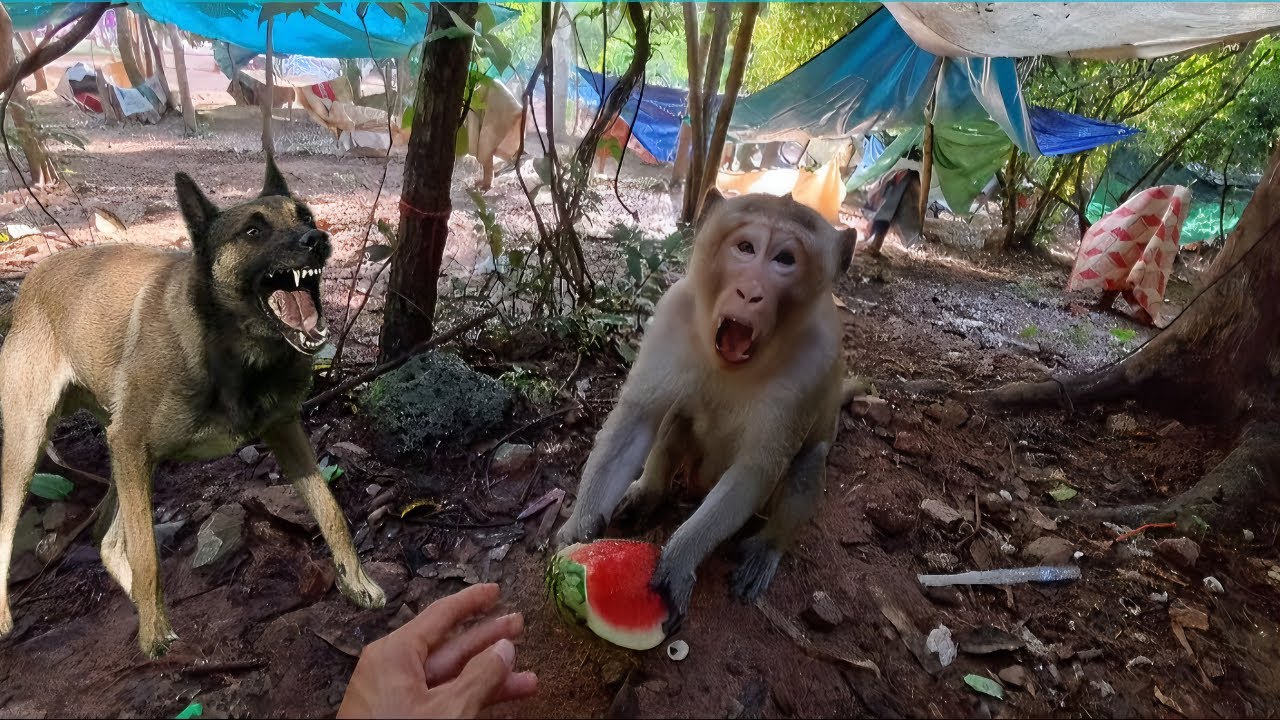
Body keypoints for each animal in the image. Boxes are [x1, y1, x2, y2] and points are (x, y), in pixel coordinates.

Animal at [556, 190, 857, 631]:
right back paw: (649, 492)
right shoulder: (672, 314)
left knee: (808, 460)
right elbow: (638, 418)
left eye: (785, 259)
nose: (750, 293)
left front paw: (680, 559)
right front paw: (580, 525)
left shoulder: (815, 360)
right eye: (746, 248)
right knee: (675, 414)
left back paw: (768, 545)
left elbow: (757, 468)